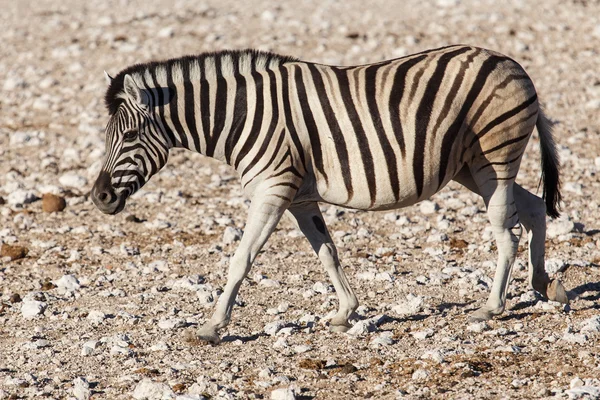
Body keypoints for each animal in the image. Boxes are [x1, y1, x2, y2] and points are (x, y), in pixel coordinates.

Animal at [91, 44, 568, 344]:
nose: (98, 198)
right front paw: (346, 312)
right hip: (472, 168)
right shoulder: (300, 197)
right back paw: (546, 284)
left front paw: (213, 326)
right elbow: (328, 253)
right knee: (533, 209)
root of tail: (513, 64)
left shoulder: (274, 187)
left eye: (129, 135)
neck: (241, 116)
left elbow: (241, 259)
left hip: (494, 157)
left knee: (507, 232)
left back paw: (492, 307)